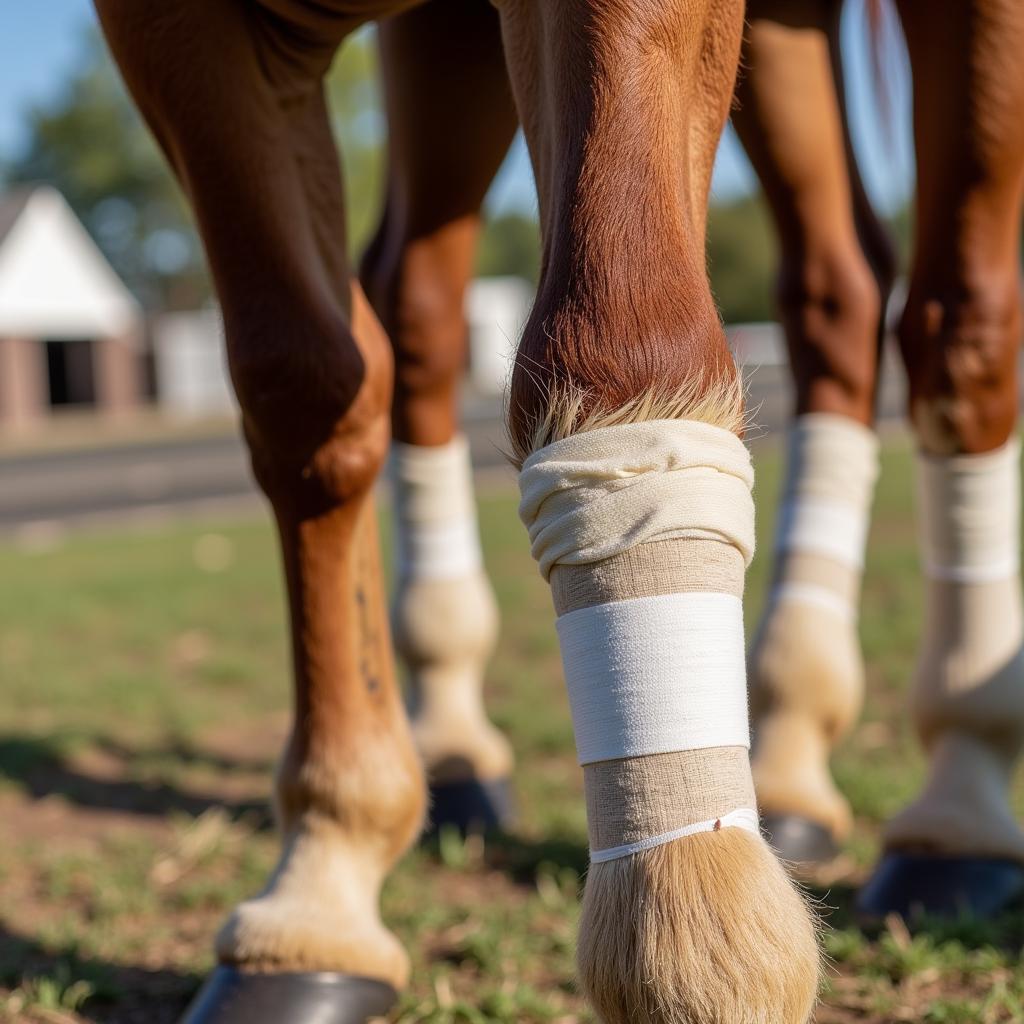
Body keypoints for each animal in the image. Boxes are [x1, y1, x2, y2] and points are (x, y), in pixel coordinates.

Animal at [92, 2, 1019, 1024]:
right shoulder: (186, 41)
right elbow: (305, 389)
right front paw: (320, 889)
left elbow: (625, 338)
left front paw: (696, 943)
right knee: (822, 293)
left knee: (955, 326)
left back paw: (961, 797)